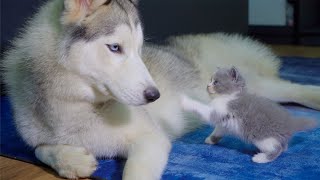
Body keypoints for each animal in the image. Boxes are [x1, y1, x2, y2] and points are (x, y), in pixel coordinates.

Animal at [181, 66, 316, 163]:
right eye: (210, 80)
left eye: (216, 82)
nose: (207, 86)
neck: (228, 96)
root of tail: (290, 123)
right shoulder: (225, 122)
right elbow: (218, 130)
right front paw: (211, 139)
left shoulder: (219, 112)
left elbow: (201, 108)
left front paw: (185, 100)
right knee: (283, 146)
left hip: (263, 138)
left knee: (277, 149)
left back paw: (261, 158)